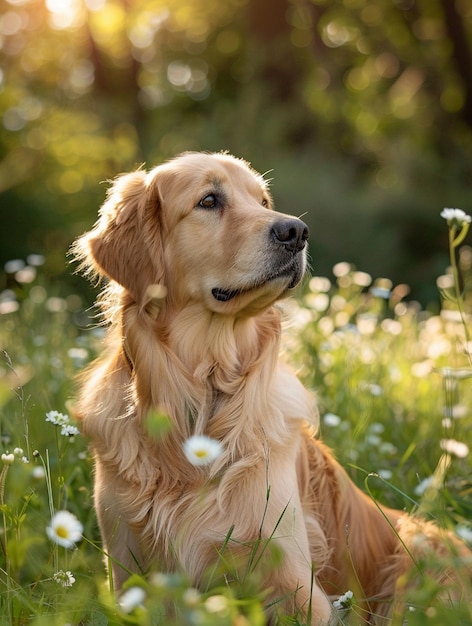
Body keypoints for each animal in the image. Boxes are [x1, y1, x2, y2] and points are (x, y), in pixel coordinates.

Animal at [72, 150, 470, 620]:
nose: (296, 231)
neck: (204, 390)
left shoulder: (295, 581)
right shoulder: (128, 568)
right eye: (209, 200)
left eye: (263, 201)